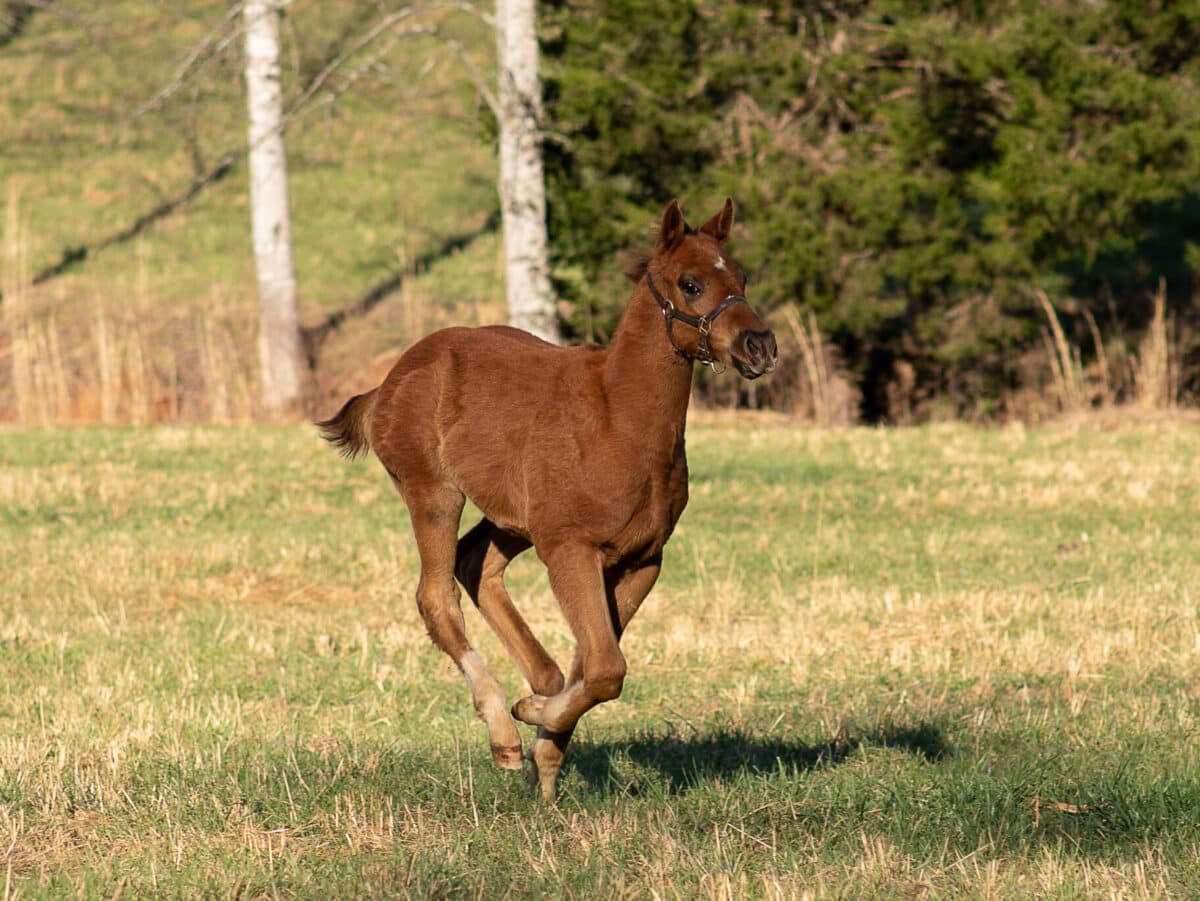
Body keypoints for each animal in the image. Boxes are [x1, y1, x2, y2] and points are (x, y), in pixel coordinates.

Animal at [319, 199, 772, 801]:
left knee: (475, 565)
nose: (760, 346)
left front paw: (549, 753)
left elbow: (594, 664)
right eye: (691, 282)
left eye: (741, 278)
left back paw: (536, 694)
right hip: (434, 492)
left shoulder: (641, 561)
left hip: (514, 518)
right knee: (436, 596)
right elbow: (606, 668)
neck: (619, 420)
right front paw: (533, 723)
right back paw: (504, 732)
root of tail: (391, 377)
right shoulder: (569, 550)